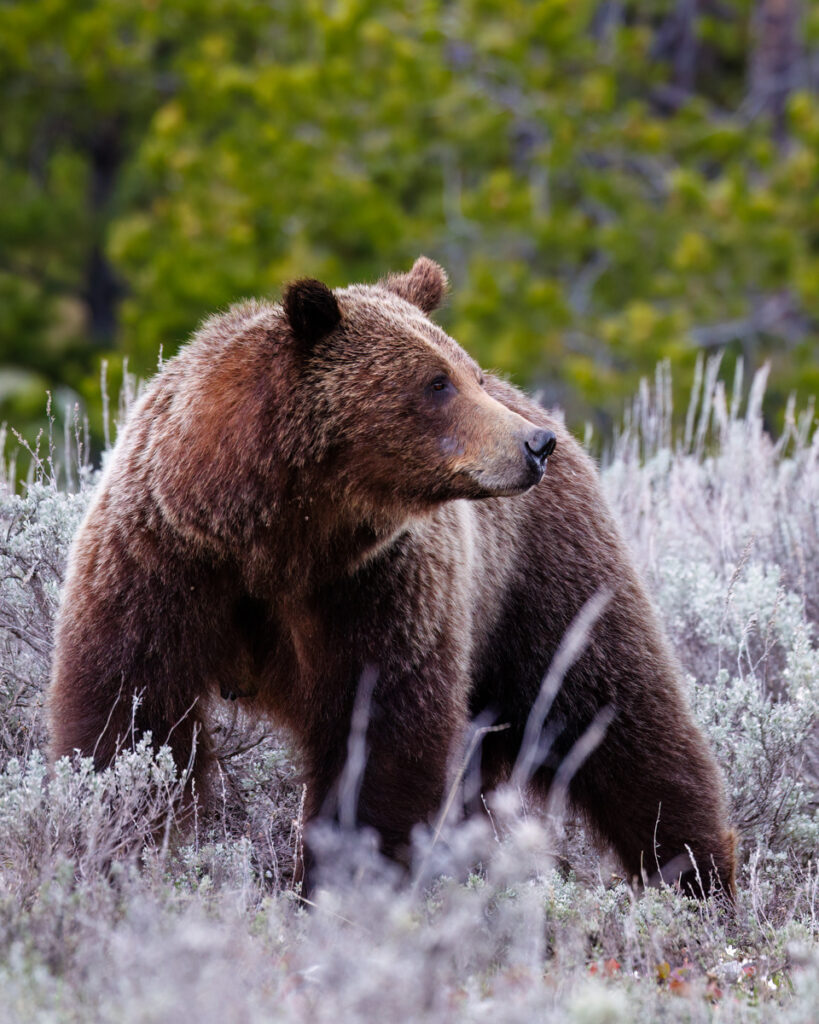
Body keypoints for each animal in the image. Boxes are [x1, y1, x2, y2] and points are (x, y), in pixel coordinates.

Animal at [46, 260, 737, 901]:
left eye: (467, 372)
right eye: (437, 381)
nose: (534, 445)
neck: (277, 537)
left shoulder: (376, 587)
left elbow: (380, 737)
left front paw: (343, 881)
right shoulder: (166, 561)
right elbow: (131, 715)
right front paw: (122, 845)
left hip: (542, 584)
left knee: (619, 716)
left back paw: (697, 878)